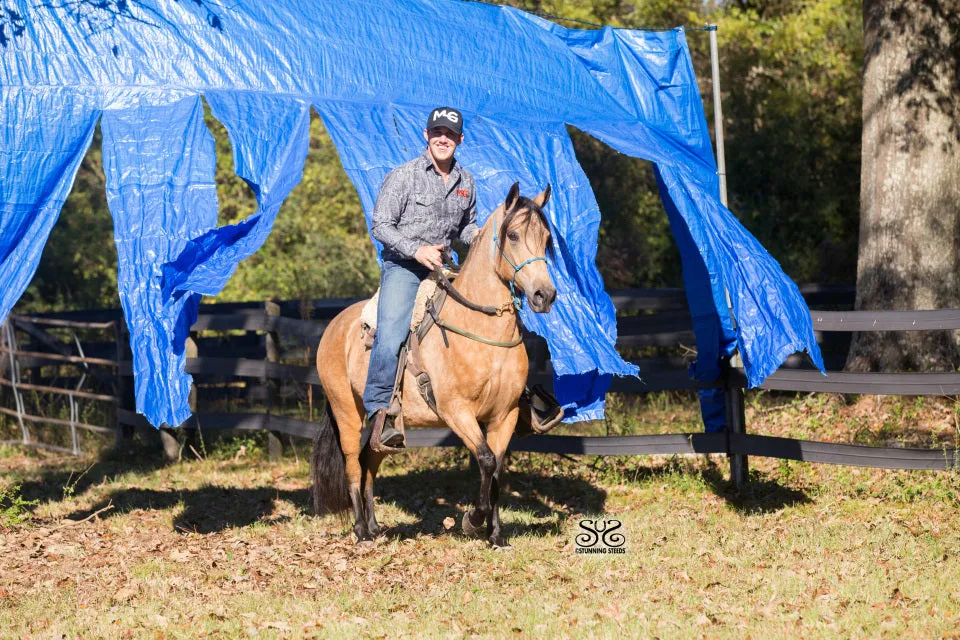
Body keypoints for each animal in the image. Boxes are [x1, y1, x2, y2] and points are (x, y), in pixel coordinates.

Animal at [312, 182, 560, 548]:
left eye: (545, 239)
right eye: (513, 235)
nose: (545, 295)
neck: (481, 333)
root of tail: (334, 326)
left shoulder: (506, 415)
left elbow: (497, 470)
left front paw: (496, 536)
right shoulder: (457, 411)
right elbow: (486, 460)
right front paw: (472, 521)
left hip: (385, 426)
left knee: (371, 460)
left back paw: (374, 526)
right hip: (346, 412)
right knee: (353, 466)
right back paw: (361, 532)